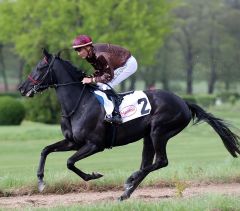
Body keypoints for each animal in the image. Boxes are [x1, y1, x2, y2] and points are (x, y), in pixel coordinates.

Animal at [18, 49, 240, 201]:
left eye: (40, 67)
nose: (22, 88)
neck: (78, 104)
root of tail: (184, 102)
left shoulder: (94, 145)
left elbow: (70, 162)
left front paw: (93, 175)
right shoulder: (73, 142)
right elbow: (46, 150)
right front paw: (40, 181)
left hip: (159, 132)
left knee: (161, 161)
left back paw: (130, 179)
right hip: (148, 137)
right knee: (148, 164)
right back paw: (126, 193)